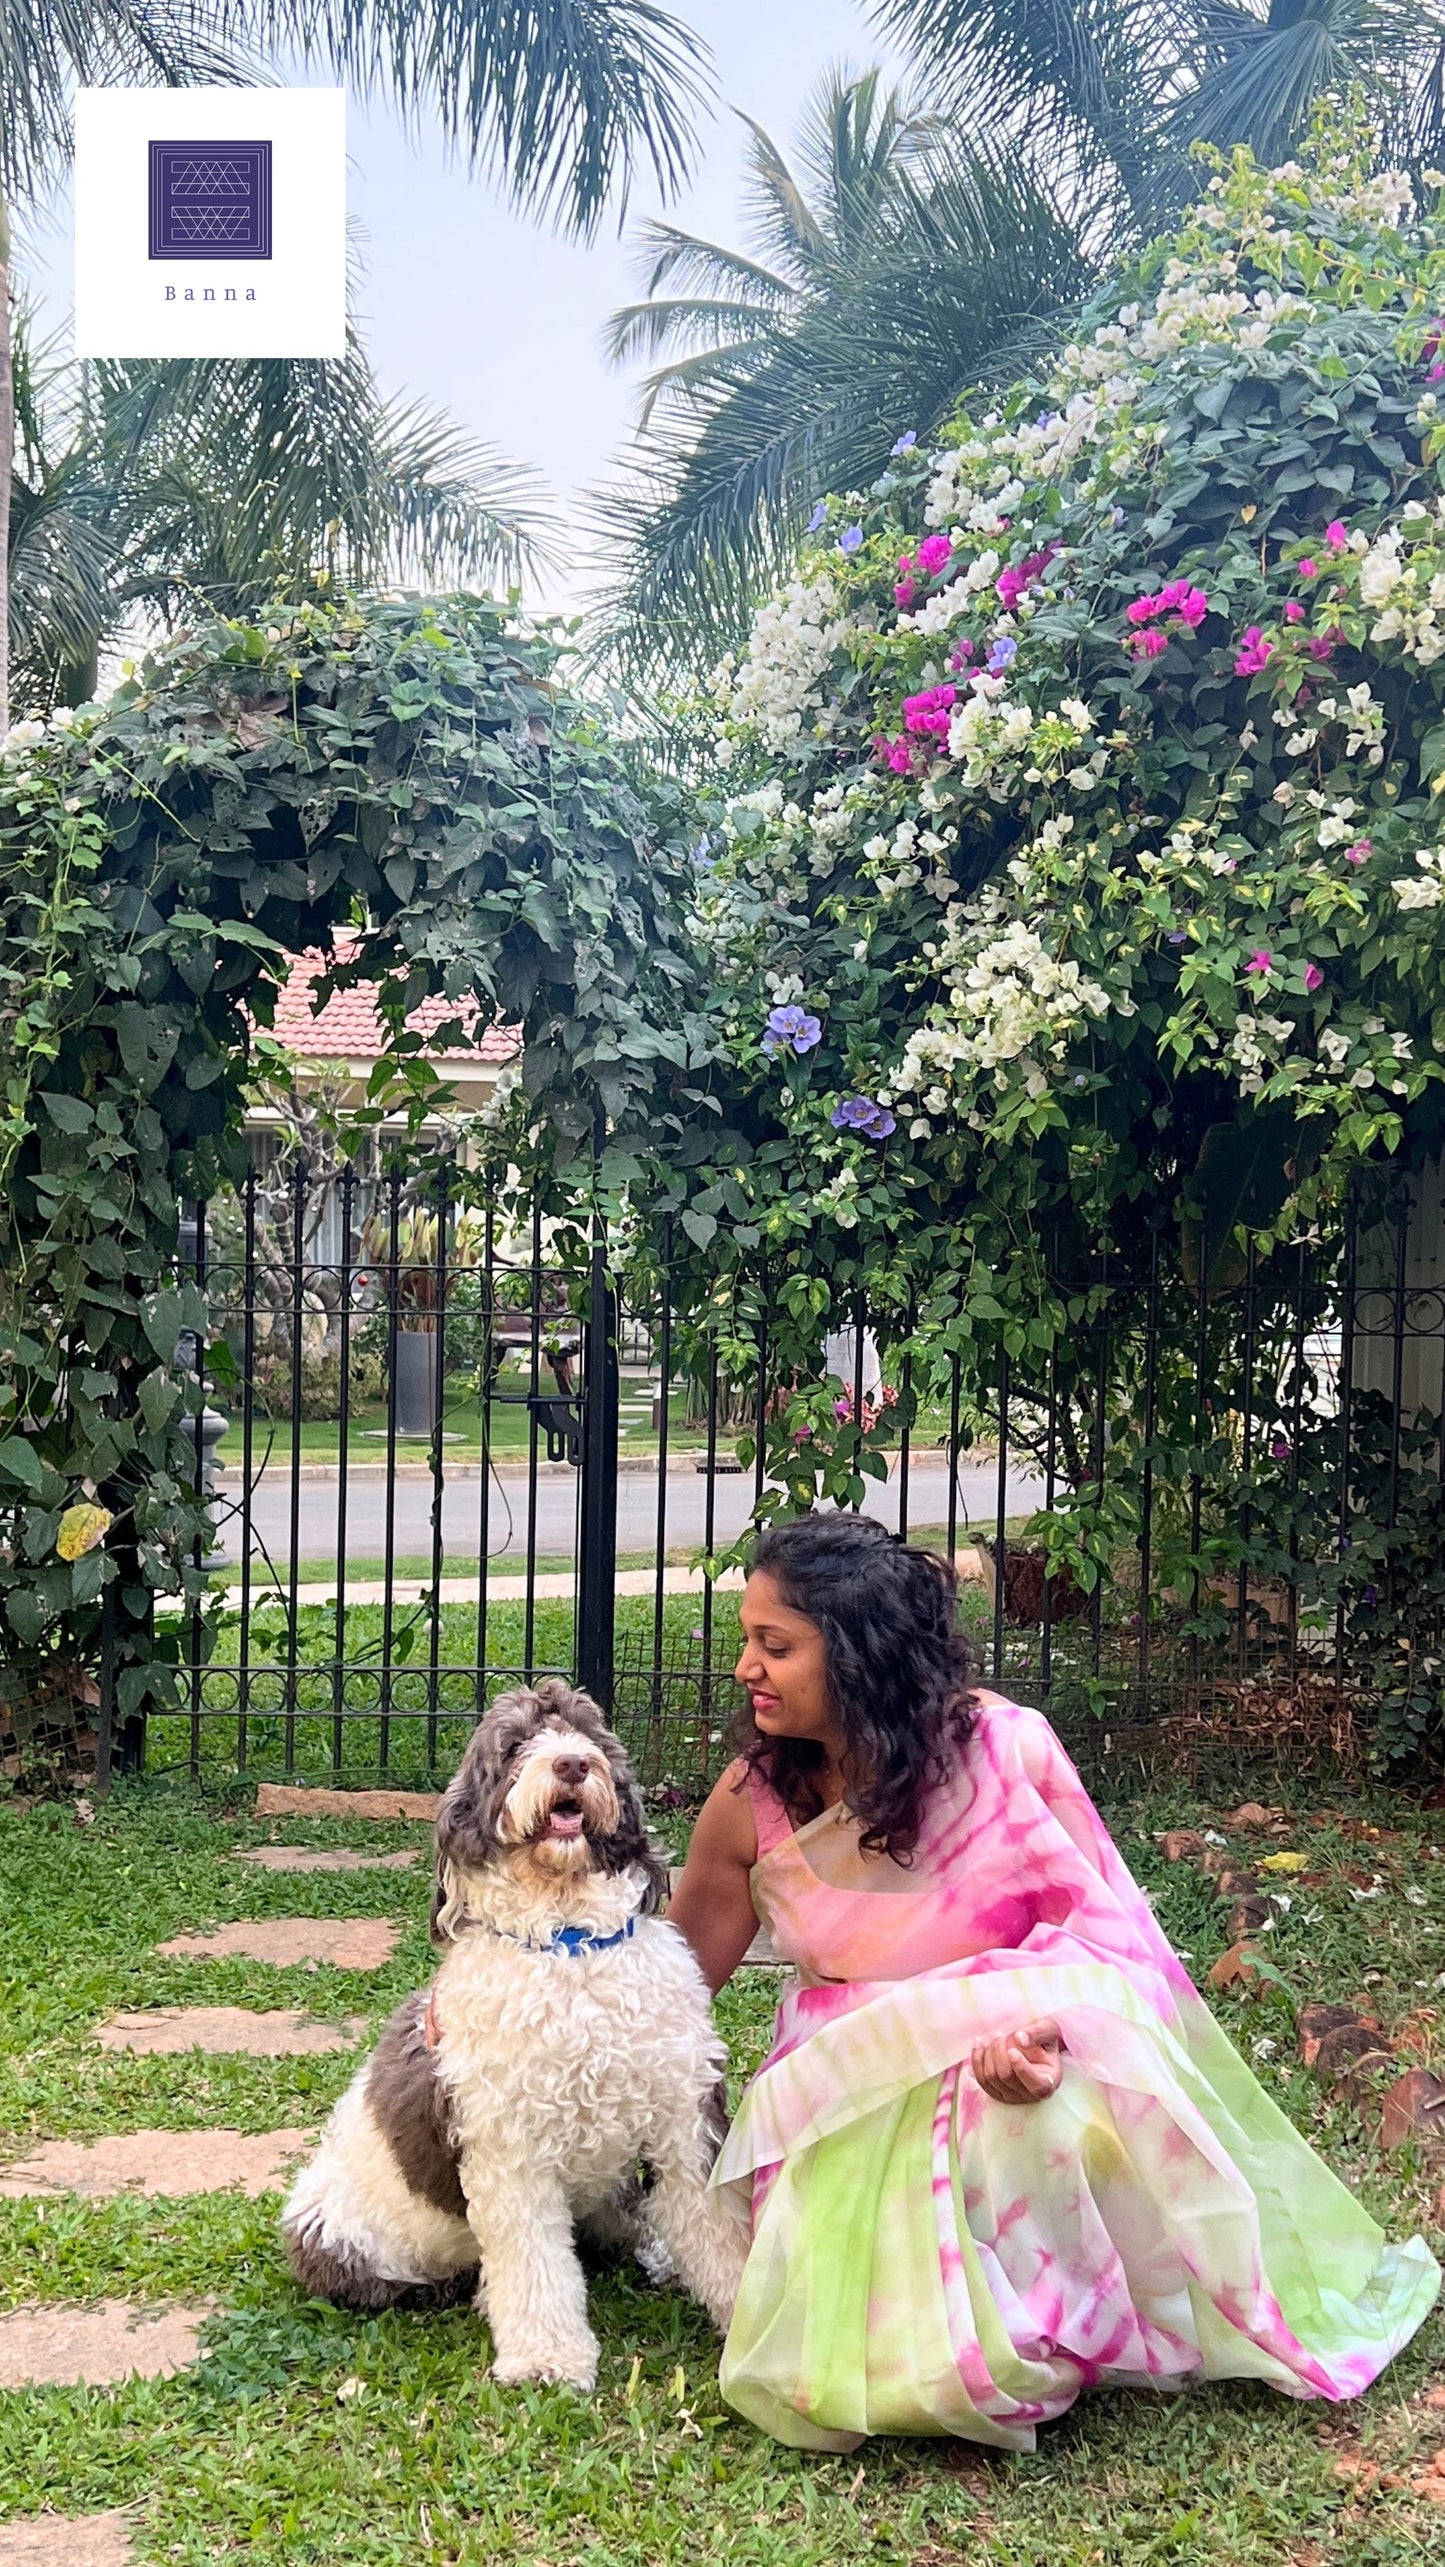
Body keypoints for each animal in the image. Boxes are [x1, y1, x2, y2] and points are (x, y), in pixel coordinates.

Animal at [283, 1683, 759, 2382]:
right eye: (513, 1746)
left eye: (588, 1733)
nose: (572, 1764)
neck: (571, 1943)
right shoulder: (509, 2152)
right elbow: (535, 2263)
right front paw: (546, 2360)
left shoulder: (683, 2118)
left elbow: (718, 2233)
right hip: (335, 2232)